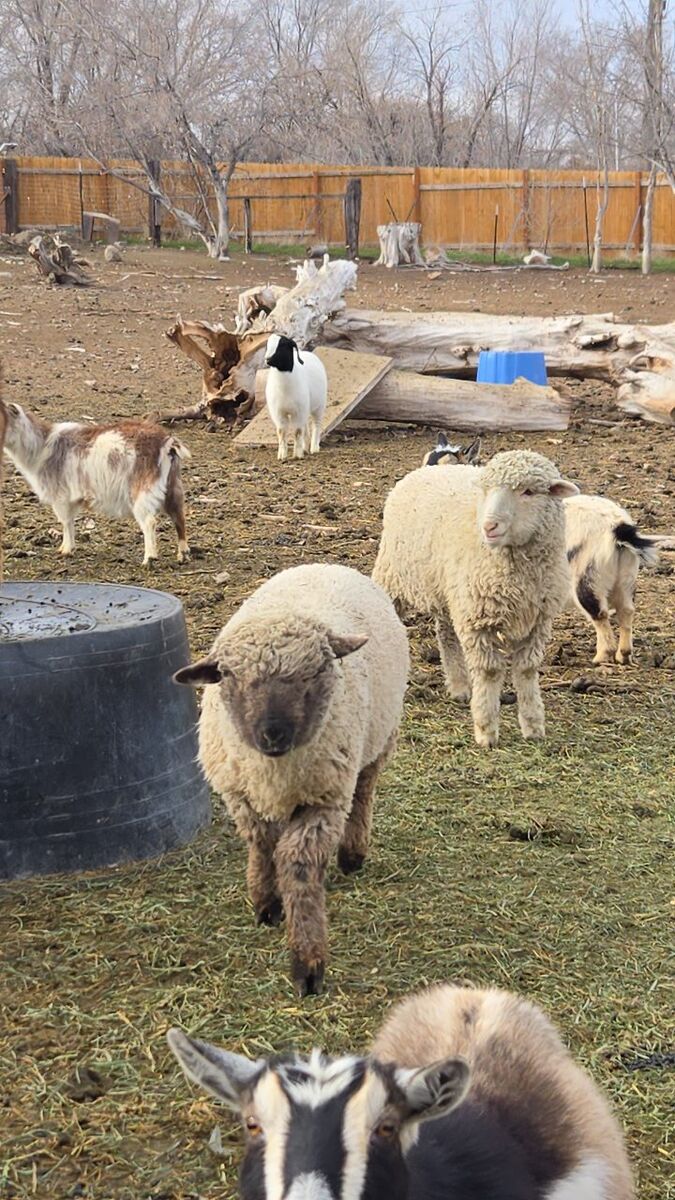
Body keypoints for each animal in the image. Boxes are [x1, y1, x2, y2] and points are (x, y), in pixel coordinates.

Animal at [2, 402, 190, 564]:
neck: (41, 447)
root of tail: (167, 443)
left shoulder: (61, 496)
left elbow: (66, 522)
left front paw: (66, 549)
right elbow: (69, 522)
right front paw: (67, 548)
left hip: (143, 490)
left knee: (150, 522)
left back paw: (149, 559)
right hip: (172, 486)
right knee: (178, 516)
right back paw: (183, 554)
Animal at [173, 562, 409, 996]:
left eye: (315, 671)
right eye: (229, 676)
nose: (273, 734)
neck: (274, 768)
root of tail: (325, 565)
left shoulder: (323, 800)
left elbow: (297, 864)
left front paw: (307, 963)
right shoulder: (241, 795)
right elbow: (263, 844)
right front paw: (267, 904)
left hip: (378, 738)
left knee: (364, 792)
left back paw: (352, 854)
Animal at [264, 333, 328, 461]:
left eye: (282, 345)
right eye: (267, 345)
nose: (267, 359)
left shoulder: (298, 412)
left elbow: (297, 431)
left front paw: (297, 455)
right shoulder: (279, 413)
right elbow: (282, 432)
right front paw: (282, 456)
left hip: (319, 406)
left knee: (316, 425)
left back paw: (314, 448)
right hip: (305, 409)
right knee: (306, 427)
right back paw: (305, 448)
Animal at [373, 450, 578, 748]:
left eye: (528, 491)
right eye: (486, 490)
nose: (489, 526)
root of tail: (425, 470)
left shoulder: (537, 622)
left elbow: (527, 670)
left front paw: (533, 725)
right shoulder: (478, 620)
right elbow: (489, 672)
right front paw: (486, 730)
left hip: (449, 591)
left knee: (446, 635)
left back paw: (459, 687)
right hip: (393, 577)